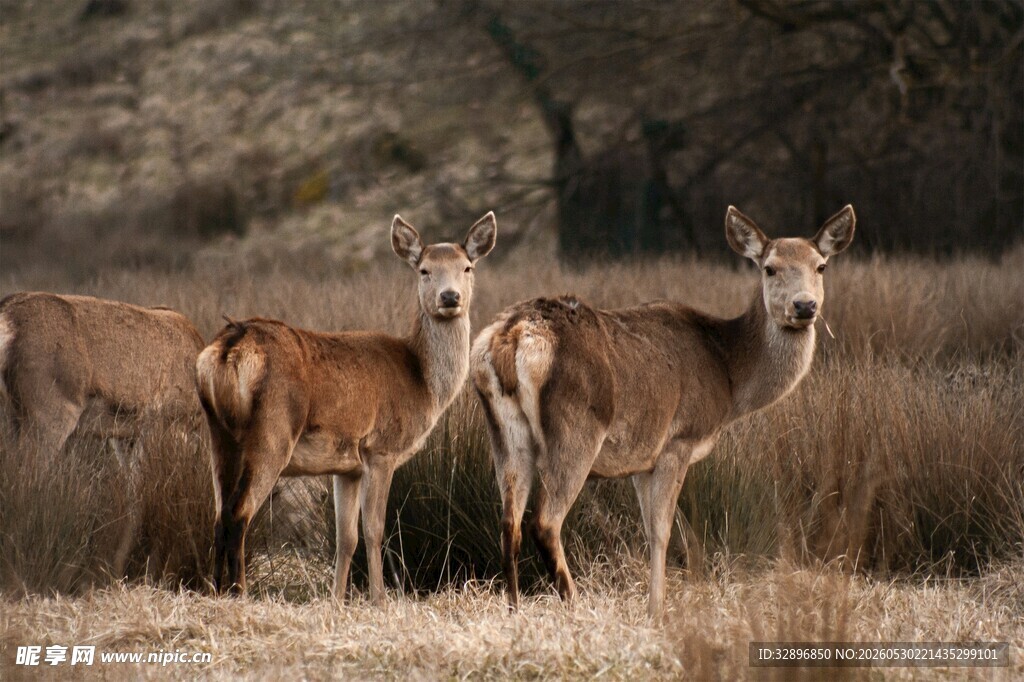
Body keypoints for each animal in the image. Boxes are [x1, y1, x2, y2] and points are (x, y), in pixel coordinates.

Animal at [0, 292, 206, 574]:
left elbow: (135, 496)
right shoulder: (165, 424)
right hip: (49, 415)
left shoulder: (126, 436)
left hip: (14, 418)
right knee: (25, 481)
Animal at [196, 212, 497, 600]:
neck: (421, 382)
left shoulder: (346, 466)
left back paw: (214, 591)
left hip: (218, 434)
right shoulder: (380, 448)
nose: (450, 296)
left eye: (467, 267)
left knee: (218, 516)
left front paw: (337, 598)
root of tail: (228, 346)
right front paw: (380, 598)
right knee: (238, 514)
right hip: (271, 432)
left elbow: (345, 537)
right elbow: (374, 529)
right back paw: (240, 592)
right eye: (424, 270)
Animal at [471, 205, 855, 620]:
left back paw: (513, 610)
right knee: (544, 521)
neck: (729, 378)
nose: (804, 306)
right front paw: (658, 608)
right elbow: (663, 531)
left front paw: (653, 604)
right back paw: (575, 604)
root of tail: (509, 338)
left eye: (820, 266)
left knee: (509, 521)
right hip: (575, 430)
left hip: (504, 434)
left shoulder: (641, 457)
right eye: (769, 268)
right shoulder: (679, 439)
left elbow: (649, 529)